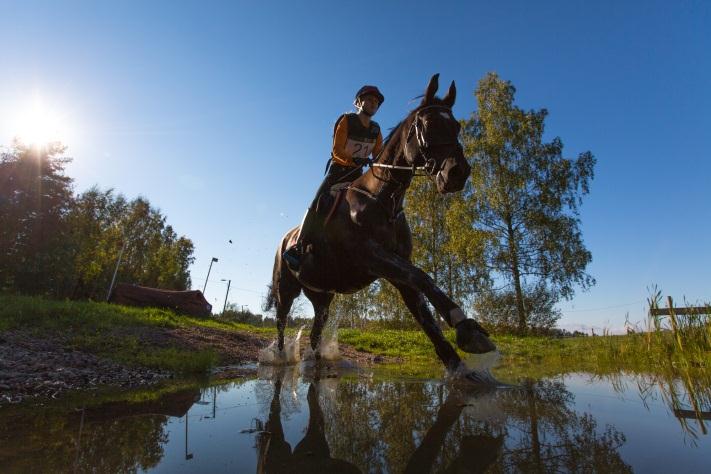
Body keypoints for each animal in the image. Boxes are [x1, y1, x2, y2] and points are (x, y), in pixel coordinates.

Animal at [266, 74, 496, 372]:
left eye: (456, 126)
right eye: (427, 124)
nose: (458, 173)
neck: (384, 202)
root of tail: (285, 239)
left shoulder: (396, 268)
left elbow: (425, 314)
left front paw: (461, 362)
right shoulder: (371, 256)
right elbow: (422, 277)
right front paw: (466, 328)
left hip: (322, 295)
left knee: (317, 330)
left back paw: (316, 361)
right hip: (286, 289)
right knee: (281, 322)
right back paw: (281, 358)